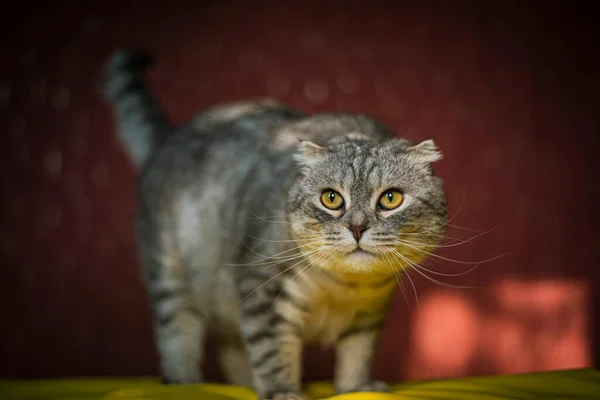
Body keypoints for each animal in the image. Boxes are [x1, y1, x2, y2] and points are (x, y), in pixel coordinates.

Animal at [102, 49, 446, 400]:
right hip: (171, 277)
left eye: (390, 198)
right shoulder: (261, 291)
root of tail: (168, 138)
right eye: (331, 198)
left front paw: (358, 387)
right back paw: (184, 382)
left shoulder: (369, 314)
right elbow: (271, 352)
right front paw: (282, 390)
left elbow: (357, 354)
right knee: (178, 337)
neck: (344, 286)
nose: (358, 228)